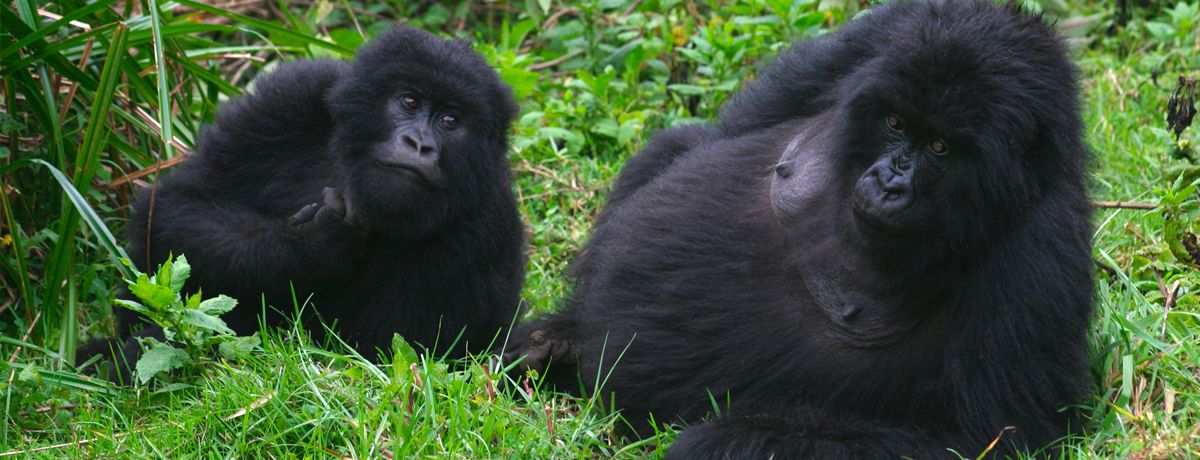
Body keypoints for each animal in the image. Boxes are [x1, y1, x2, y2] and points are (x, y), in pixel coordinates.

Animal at [91, 26, 523, 379]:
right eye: (410, 102)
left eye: (451, 121)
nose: (419, 144)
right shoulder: (290, 95)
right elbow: (175, 207)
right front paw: (311, 247)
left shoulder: (485, 220)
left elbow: (381, 358)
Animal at [506, 1, 1099, 458]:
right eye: (895, 123)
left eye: (940, 148)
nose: (888, 181)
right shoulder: (888, 31)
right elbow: (720, 132)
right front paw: (562, 332)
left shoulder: (1041, 245)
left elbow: (986, 437)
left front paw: (733, 439)